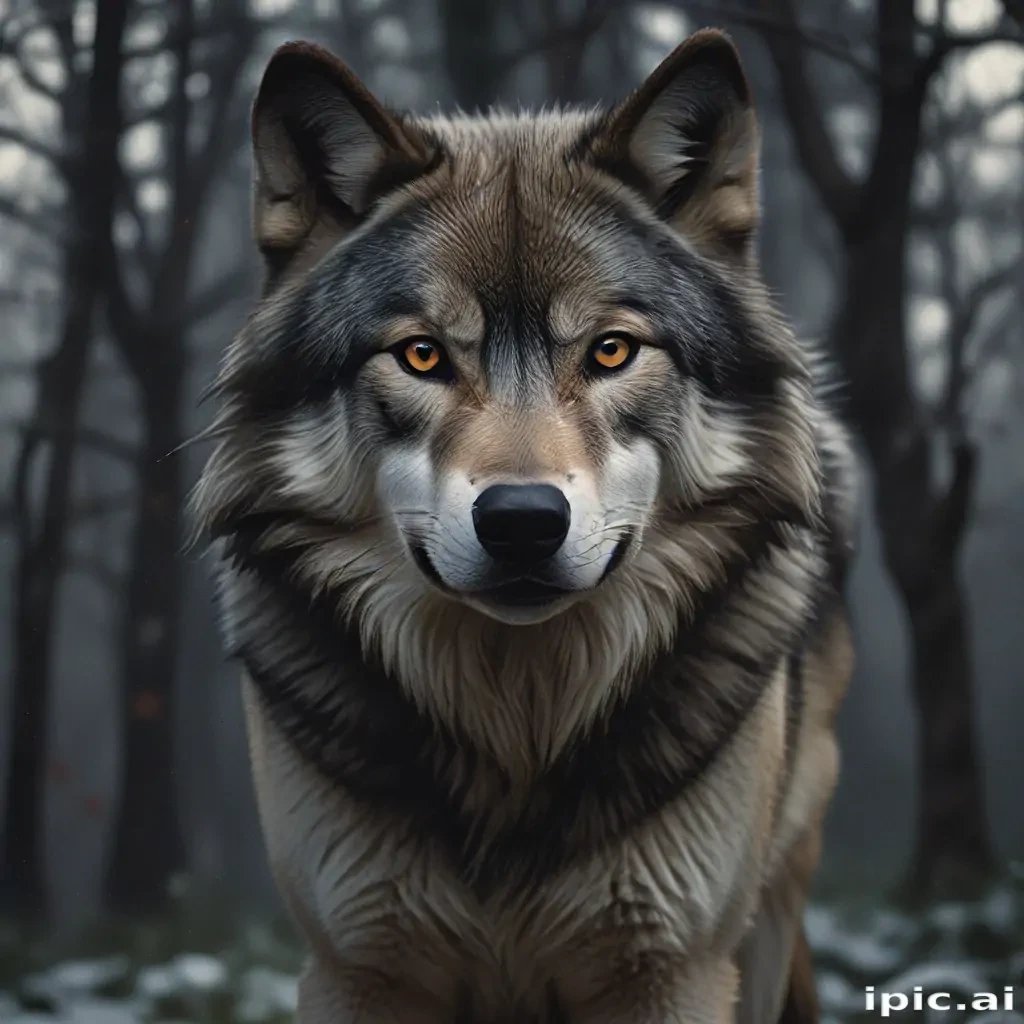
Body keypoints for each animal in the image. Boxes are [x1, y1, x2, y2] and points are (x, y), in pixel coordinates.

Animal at [192, 26, 859, 1024]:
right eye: (421, 355)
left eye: (611, 351)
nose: (520, 522)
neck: (517, 736)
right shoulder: (357, 964)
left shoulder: (674, 967)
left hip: (771, 906)